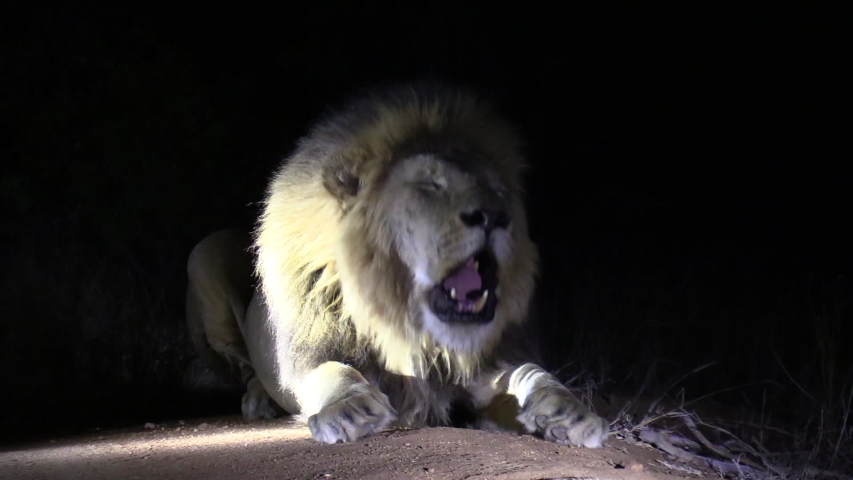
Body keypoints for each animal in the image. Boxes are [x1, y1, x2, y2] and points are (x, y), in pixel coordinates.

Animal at [187, 82, 608, 446]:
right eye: (430, 185)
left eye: (500, 190)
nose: (494, 215)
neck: (408, 324)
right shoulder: (312, 352)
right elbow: (330, 371)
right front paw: (350, 407)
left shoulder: (476, 371)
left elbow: (530, 373)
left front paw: (570, 412)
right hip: (204, 254)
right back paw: (258, 399)